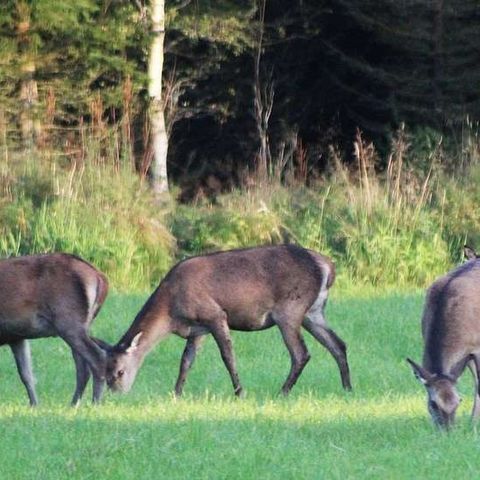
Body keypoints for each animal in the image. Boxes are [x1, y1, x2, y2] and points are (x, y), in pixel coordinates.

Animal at [0, 253, 109, 406]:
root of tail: (101, 278)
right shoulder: (16, 337)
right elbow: (26, 374)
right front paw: (34, 405)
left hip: (69, 322)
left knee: (97, 357)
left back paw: (95, 403)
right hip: (81, 325)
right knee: (83, 368)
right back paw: (74, 404)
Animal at [103, 246, 350, 396]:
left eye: (120, 372)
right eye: (105, 372)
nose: (116, 393)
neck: (172, 314)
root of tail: (328, 267)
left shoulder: (215, 314)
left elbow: (227, 355)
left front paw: (240, 391)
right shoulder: (197, 329)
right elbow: (186, 361)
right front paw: (177, 393)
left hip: (290, 309)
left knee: (301, 353)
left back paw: (282, 391)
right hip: (313, 312)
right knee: (338, 344)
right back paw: (347, 388)